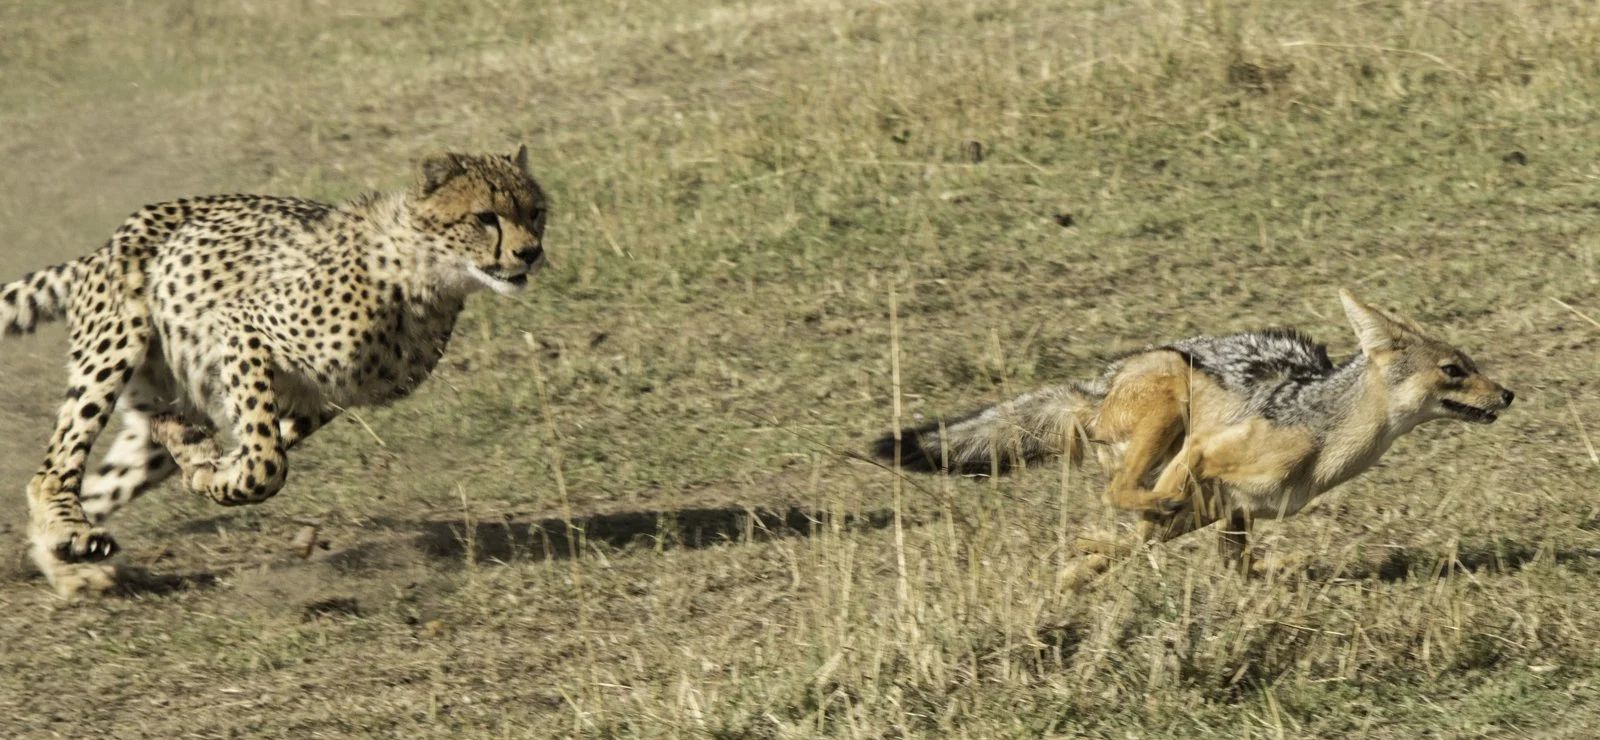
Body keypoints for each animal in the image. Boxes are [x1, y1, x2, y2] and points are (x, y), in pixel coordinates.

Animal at [0, 147, 549, 598]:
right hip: (115, 348)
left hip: (161, 405)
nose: (530, 252)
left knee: (108, 478)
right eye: (485, 217)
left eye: (536, 213)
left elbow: (261, 448)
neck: (422, 277)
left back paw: (73, 562)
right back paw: (73, 534)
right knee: (51, 472)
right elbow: (267, 463)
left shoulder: (322, 398)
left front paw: (210, 473)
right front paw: (221, 475)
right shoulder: (242, 327)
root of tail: (108, 244)